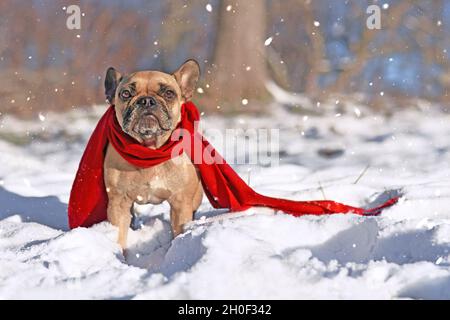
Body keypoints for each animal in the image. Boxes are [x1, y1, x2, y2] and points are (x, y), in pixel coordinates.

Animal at [103, 60, 203, 250]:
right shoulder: (118, 203)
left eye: (169, 93)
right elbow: (119, 236)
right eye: (125, 93)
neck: (149, 148)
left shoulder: (181, 203)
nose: (146, 101)